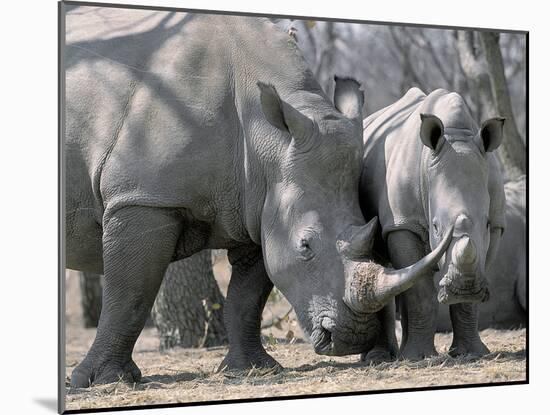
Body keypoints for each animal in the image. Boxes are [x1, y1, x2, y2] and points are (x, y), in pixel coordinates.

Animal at [64, 8, 452, 388]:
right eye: (305, 246)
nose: (351, 338)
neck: (265, 135)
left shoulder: (259, 202)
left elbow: (247, 297)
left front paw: (253, 369)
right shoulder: (142, 198)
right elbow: (129, 293)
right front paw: (102, 382)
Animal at [358, 87, 508, 360]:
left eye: (486, 224)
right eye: (436, 227)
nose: (464, 287)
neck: (457, 136)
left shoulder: (497, 224)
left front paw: (472, 353)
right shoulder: (402, 222)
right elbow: (420, 292)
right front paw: (419, 357)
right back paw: (382, 358)